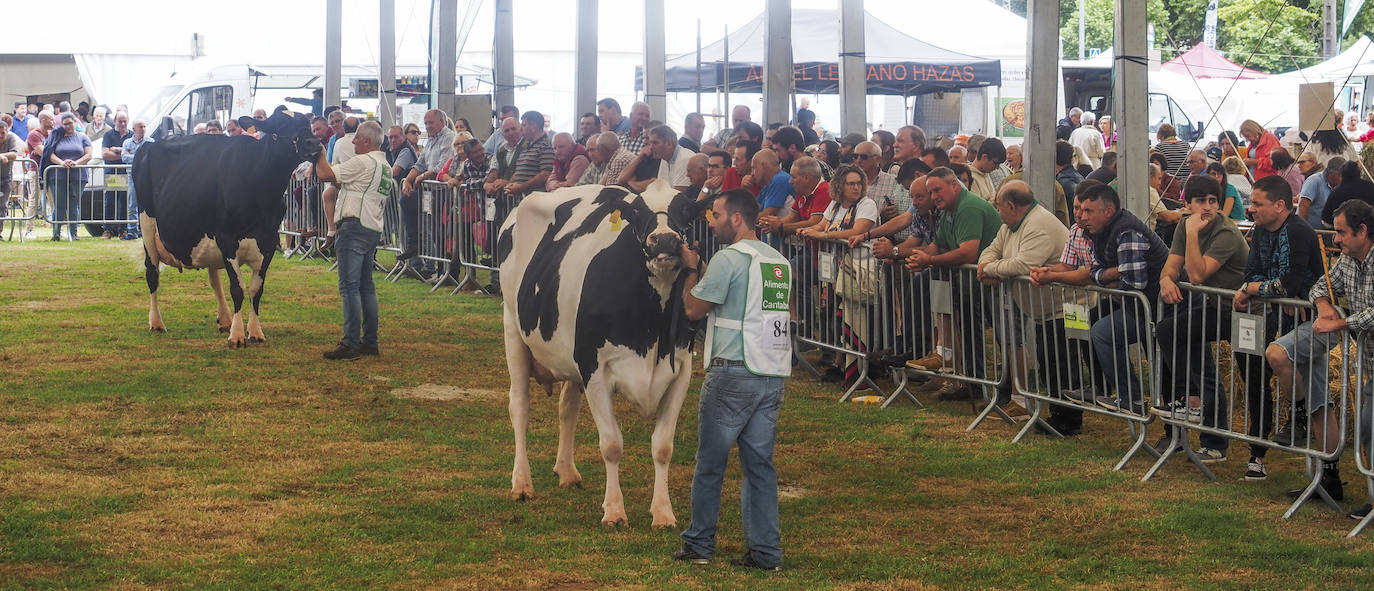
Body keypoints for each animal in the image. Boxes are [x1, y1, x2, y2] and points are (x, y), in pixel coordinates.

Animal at [136, 110, 324, 346]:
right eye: (280, 125)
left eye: (307, 122)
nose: (314, 142)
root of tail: (151, 144)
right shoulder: (227, 238)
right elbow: (237, 289)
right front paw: (237, 335)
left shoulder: (269, 241)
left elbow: (256, 289)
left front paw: (255, 331)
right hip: (147, 225)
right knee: (152, 273)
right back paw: (156, 323)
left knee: (214, 279)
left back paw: (224, 319)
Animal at [500, 175, 703, 525]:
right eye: (636, 213)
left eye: (686, 211)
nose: (664, 240)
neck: (650, 329)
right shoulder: (594, 368)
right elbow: (611, 444)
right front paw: (615, 511)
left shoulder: (680, 371)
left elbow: (663, 446)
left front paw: (663, 513)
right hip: (513, 327)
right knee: (520, 406)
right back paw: (522, 484)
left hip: (569, 356)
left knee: (567, 407)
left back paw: (567, 472)